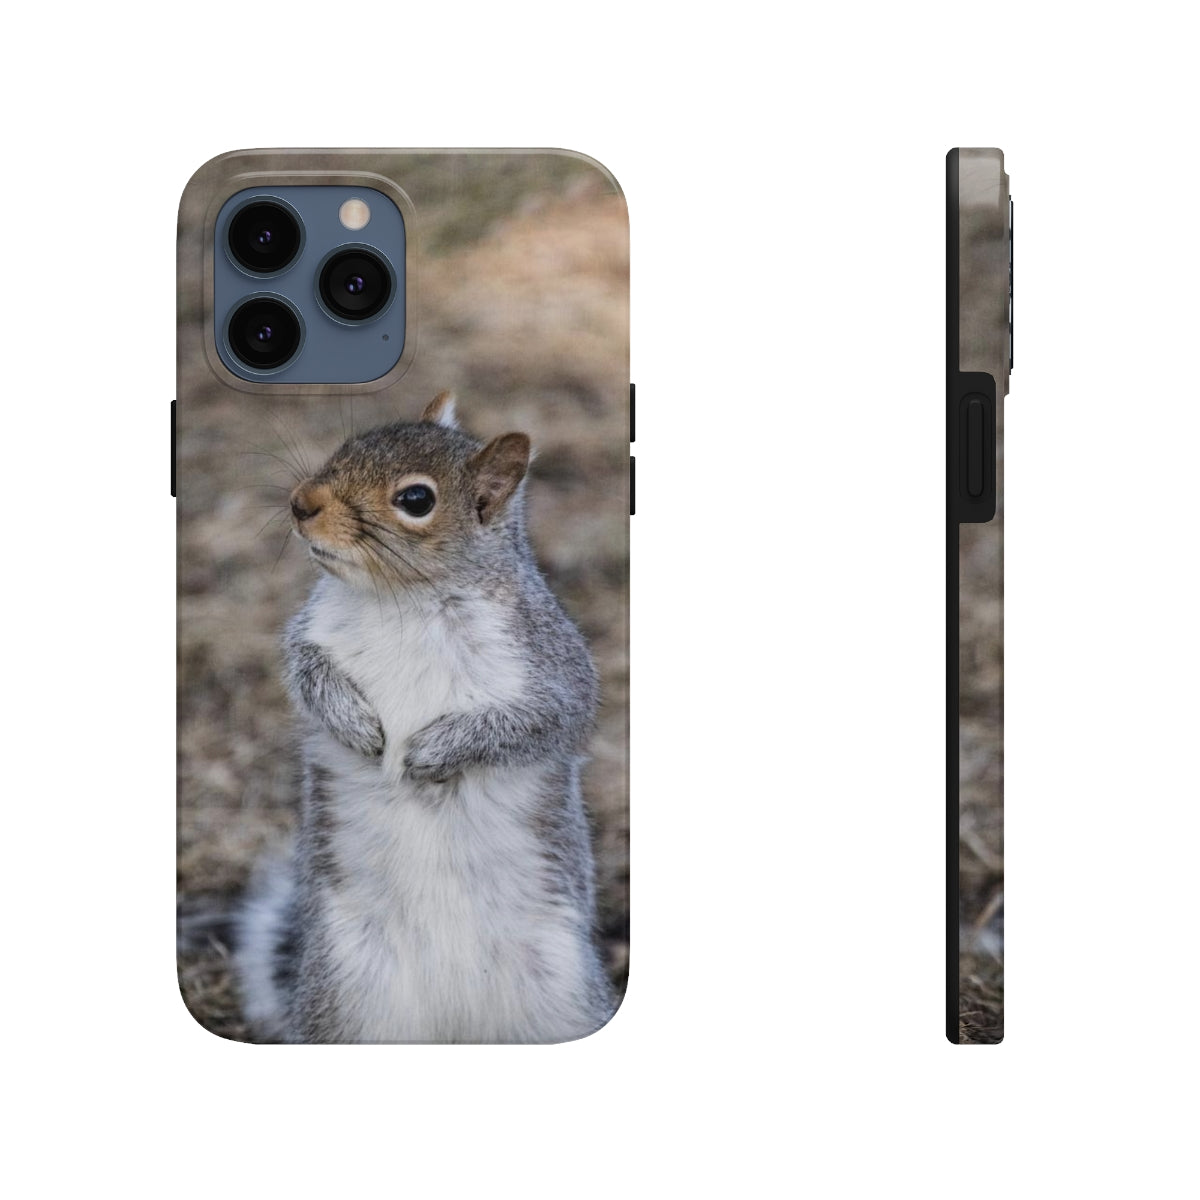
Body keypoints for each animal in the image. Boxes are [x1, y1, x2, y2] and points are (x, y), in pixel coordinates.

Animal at [235, 391, 614, 1043]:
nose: (301, 503)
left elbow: (538, 722)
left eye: (416, 500)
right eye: (348, 445)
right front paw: (355, 723)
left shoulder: (551, 669)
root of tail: (452, 1021)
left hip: (556, 994)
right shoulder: (310, 632)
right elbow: (306, 673)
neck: (404, 599)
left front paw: (433, 751)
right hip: (350, 996)